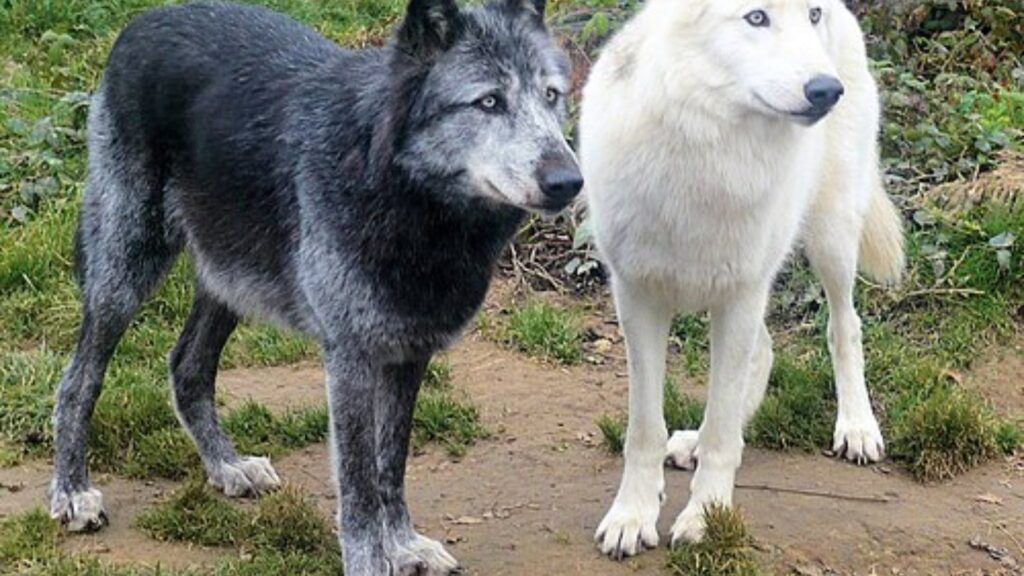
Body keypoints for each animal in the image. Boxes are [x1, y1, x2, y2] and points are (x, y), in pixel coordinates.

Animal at [47, 1, 580, 573]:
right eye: (489, 101)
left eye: (551, 95)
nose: (569, 181)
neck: (409, 200)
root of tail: (143, 22)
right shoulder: (349, 361)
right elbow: (359, 486)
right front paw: (370, 561)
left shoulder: (409, 355)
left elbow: (391, 465)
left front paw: (403, 545)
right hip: (125, 273)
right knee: (78, 381)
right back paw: (72, 491)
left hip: (232, 280)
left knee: (186, 366)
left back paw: (227, 466)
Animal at [579, 0, 905, 557]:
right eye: (756, 18)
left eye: (810, 15)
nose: (827, 89)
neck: (708, 152)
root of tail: (848, 13)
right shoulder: (638, 298)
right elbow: (644, 430)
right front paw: (632, 517)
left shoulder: (741, 294)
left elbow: (722, 436)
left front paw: (706, 518)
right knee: (765, 353)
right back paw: (690, 442)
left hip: (830, 240)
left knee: (845, 328)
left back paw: (857, 428)